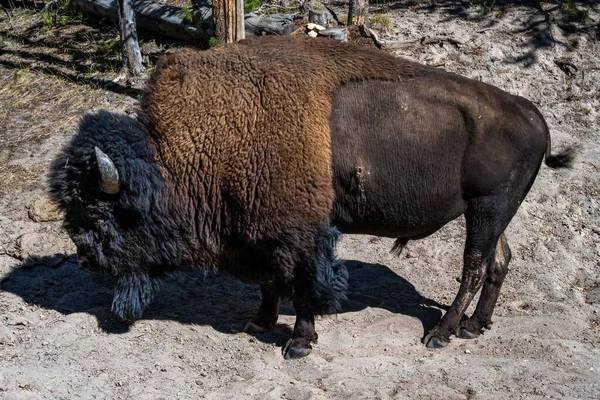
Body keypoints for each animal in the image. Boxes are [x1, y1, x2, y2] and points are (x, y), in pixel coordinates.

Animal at [49, 35, 568, 360]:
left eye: (102, 211)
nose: (84, 259)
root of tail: (535, 118)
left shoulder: (299, 233)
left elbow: (303, 285)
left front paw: (297, 343)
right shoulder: (262, 228)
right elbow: (271, 281)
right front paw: (258, 322)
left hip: (487, 209)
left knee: (474, 266)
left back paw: (441, 334)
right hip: (492, 213)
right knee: (499, 260)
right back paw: (475, 326)